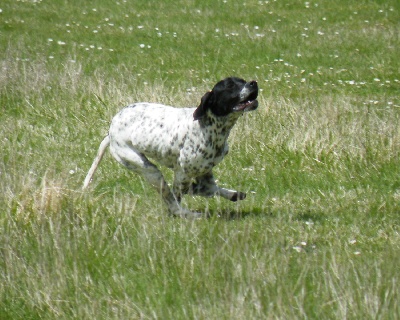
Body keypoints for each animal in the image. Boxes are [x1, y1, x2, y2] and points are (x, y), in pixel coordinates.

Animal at [83, 77, 260, 218]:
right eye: (230, 85)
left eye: (243, 80)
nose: (253, 83)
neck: (210, 127)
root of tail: (111, 131)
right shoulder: (182, 174)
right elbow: (182, 195)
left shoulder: (204, 172)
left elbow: (206, 188)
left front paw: (232, 194)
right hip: (149, 170)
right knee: (173, 203)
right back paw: (189, 214)